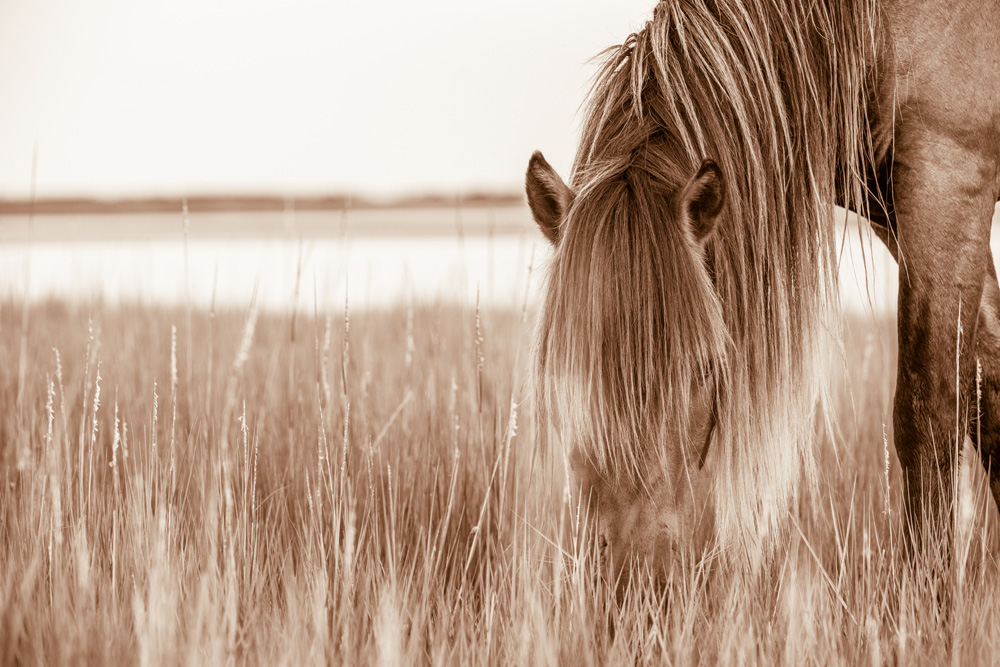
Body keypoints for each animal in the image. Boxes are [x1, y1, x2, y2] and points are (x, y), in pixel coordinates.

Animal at [524, 0, 1000, 576]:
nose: (633, 580)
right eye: (561, 368)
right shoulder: (899, 210)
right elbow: (993, 401)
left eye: (706, 367)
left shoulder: (948, 176)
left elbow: (928, 415)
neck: (871, 28)